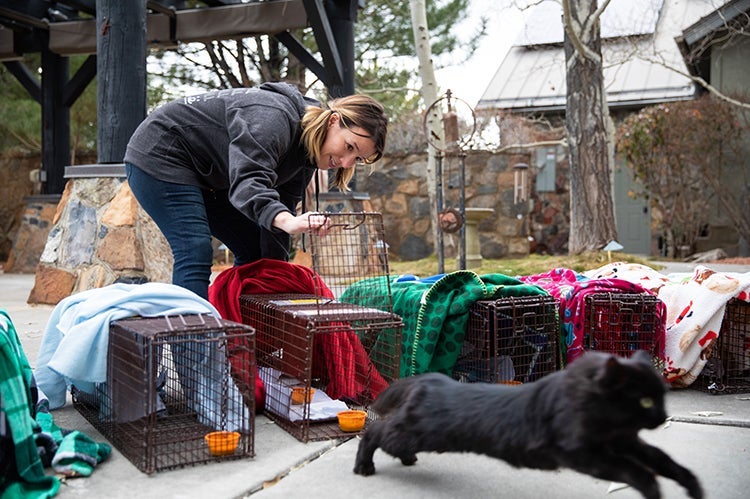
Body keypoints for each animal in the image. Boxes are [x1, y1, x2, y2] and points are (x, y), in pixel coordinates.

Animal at [356, 352, 704, 499]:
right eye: (644, 401)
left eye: (662, 397)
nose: (662, 417)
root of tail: (429, 379)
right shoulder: (581, 453)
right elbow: (633, 470)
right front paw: (653, 490)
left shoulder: (625, 441)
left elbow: (662, 460)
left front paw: (693, 486)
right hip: (417, 433)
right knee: (373, 433)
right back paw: (364, 468)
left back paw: (405, 460)